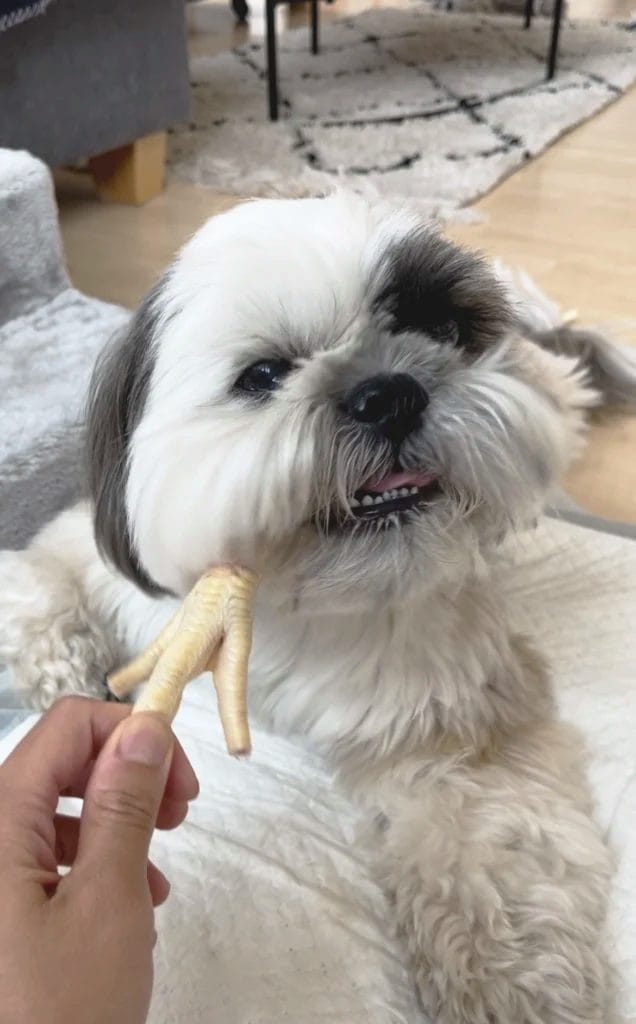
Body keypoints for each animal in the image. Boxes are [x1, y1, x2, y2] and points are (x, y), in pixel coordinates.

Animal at [1, 193, 634, 1024]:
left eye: (441, 329)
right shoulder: (110, 564)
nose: (389, 391)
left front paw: (510, 978)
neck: (288, 594)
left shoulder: (453, 719)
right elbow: (39, 577)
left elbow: (483, 836)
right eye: (265, 374)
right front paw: (62, 669)